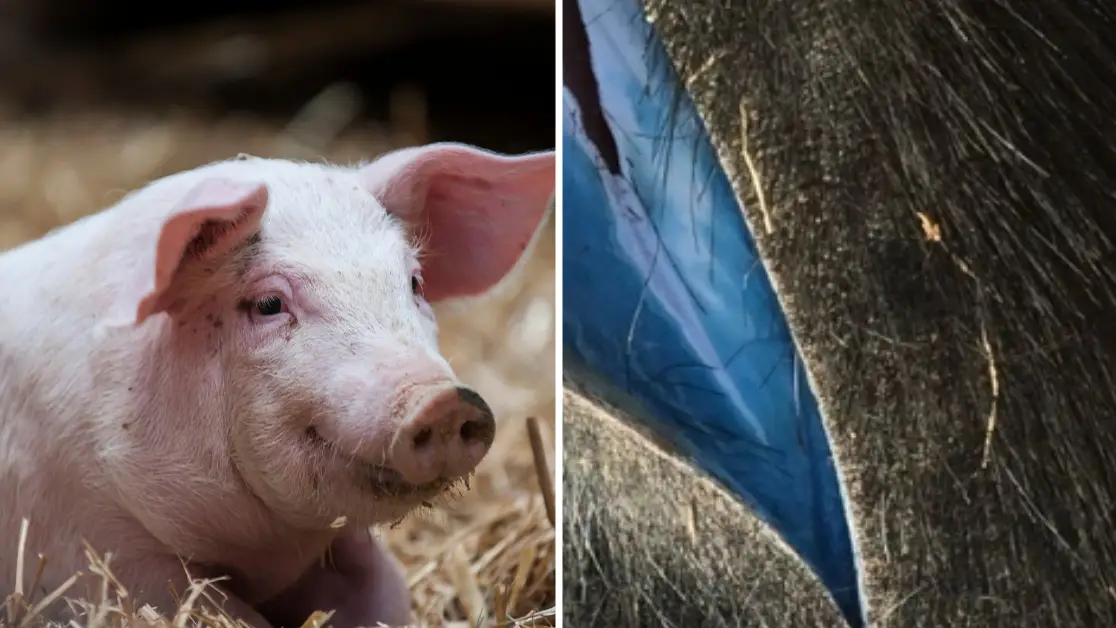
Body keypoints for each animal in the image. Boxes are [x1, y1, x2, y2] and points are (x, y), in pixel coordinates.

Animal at [0, 143, 555, 627]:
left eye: (414, 282)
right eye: (269, 304)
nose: (443, 402)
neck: (268, 551)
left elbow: (387, 594)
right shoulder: (97, 545)